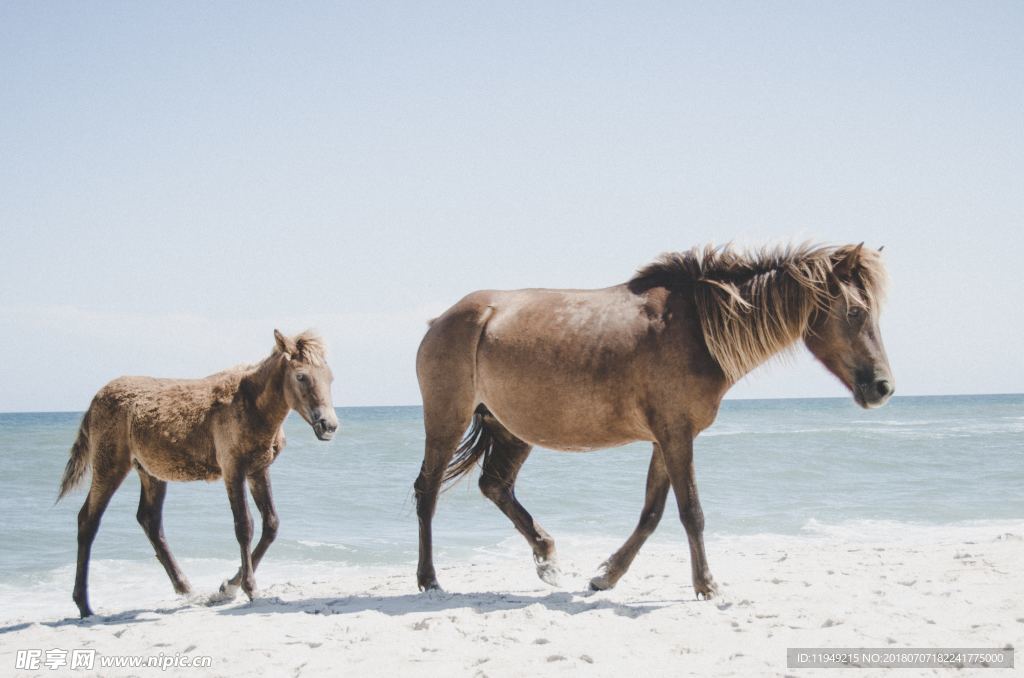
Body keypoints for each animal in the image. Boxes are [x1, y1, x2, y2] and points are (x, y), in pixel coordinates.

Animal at [57, 331, 339, 618]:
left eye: (330, 377)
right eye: (301, 376)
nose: (328, 425)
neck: (252, 405)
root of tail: (94, 401)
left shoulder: (258, 470)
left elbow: (271, 524)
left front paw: (228, 587)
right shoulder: (233, 468)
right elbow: (244, 526)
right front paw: (246, 588)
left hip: (150, 471)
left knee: (149, 520)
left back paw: (185, 588)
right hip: (110, 464)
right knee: (88, 520)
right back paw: (84, 605)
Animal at [411, 244, 892, 602]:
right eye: (854, 311)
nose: (882, 386)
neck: (696, 328)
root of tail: (443, 319)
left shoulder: (667, 438)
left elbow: (652, 513)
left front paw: (605, 576)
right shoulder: (677, 435)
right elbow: (691, 512)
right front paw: (707, 586)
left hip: (511, 428)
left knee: (495, 486)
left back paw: (547, 559)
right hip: (447, 420)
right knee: (428, 491)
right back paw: (429, 578)